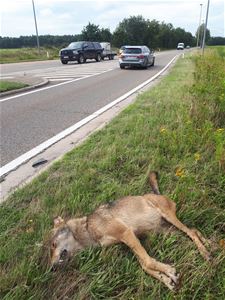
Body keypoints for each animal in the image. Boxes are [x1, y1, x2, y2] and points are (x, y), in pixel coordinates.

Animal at [49, 172, 211, 290]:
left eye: (52, 244)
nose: (52, 269)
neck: (88, 229)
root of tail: (156, 193)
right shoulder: (129, 240)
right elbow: (145, 265)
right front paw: (167, 279)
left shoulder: (126, 234)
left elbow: (147, 262)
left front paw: (169, 271)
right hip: (166, 231)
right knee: (193, 230)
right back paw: (209, 243)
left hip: (169, 217)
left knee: (191, 232)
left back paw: (205, 252)